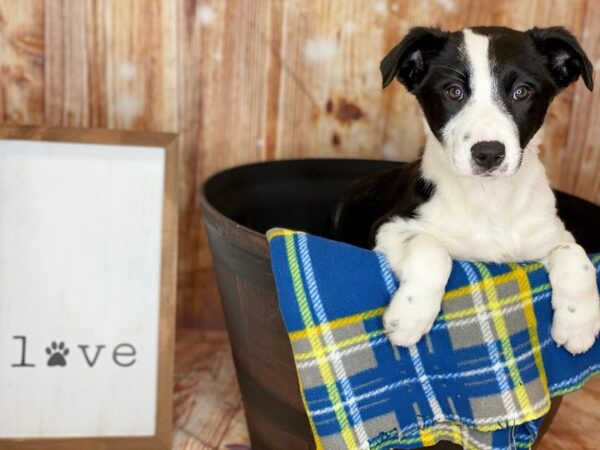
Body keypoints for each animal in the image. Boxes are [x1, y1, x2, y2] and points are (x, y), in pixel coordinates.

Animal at [332, 25, 600, 356]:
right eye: (454, 92)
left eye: (521, 92)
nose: (488, 153)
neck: (487, 198)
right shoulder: (388, 227)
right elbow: (431, 250)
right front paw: (409, 316)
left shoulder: (549, 236)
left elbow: (575, 254)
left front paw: (579, 324)